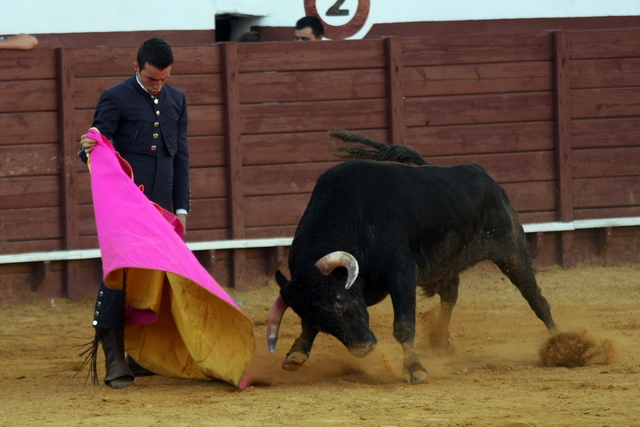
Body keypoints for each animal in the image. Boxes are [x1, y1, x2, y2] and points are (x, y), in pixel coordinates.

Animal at [268, 135, 556, 384]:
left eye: (339, 299)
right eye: (312, 314)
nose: (364, 347)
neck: (355, 217)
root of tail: (480, 171)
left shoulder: (402, 272)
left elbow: (404, 324)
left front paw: (415, 370)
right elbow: (307, 330)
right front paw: (296, 353)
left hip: (510, 248)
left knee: (534, 296)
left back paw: (558, 343)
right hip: (448, 263)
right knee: (450, 294)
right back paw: (440, 340)